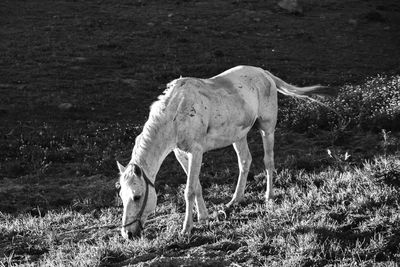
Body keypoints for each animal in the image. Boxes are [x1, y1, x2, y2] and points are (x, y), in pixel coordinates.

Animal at [117, 66, 336, 240]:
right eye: (122, 196)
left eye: (137, 196)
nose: (127, 234)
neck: (176, 112)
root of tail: (264, 73)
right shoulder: (181, 153)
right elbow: (196, 185)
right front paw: (203, 217)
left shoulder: (196, 152)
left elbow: (189, 190)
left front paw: (186, 229)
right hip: (238, 136)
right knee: (245, 161)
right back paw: (234, 200)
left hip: (267, 129)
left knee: (268, 161)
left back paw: (268, 196)